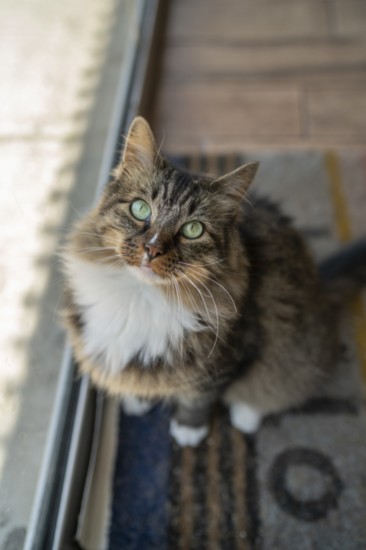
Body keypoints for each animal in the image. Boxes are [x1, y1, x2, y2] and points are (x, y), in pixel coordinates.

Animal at [61, 116, 364, 448]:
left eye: (193, 229)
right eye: (140, 209)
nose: (152, 249)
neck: (139, 297)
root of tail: (321, 286)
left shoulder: (230, 358)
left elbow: (198, 398)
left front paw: (188, 431)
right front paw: (138, 400)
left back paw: (246, 414)